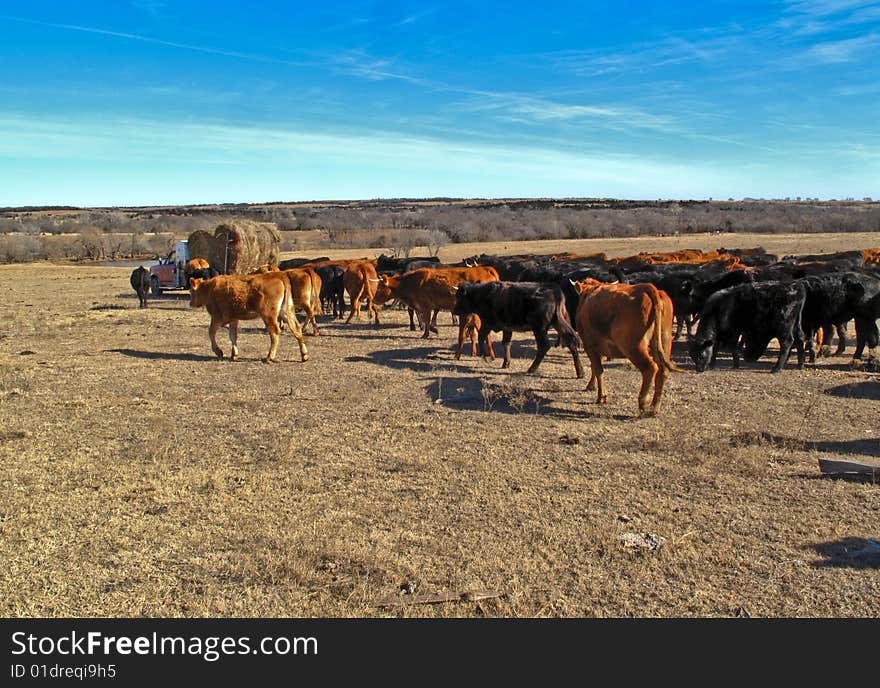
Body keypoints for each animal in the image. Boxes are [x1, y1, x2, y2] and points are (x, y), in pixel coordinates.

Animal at [454, 280, 584, 376]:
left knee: (544, 346)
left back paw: (531, 369)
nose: (455, 310)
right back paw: (580, 372)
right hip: (558, 324)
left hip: (539, 328)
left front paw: (485, 357)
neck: (482, 294)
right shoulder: (507, 327)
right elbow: (506, 343)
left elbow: (482, 338)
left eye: (459, 297)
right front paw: (506, 363)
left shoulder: (487, 323)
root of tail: (554, 290)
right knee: (571, 343)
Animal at [572, 276, 688, 416]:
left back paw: (643, 403)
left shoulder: (590, 345)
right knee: (663, 371)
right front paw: (592, 386)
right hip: (663, 342)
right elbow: (596, 367)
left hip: (633, 346)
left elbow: (598, 368)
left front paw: (601, 396)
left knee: (650, 368)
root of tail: (647, 288)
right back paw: (654, 407)